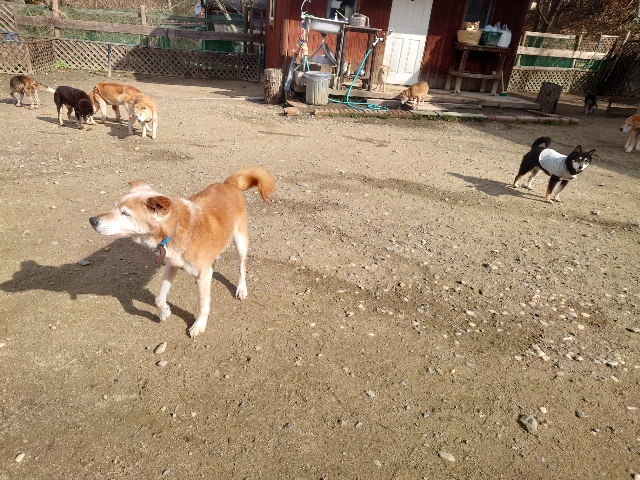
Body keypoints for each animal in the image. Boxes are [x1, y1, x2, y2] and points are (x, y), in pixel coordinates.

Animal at [89, 166, 276, 338]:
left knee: (242, 266)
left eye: (125, 213)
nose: (92, 220)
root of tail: (228, 184)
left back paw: (241, 289)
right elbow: (159, 297)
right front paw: (164, 312)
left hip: (240, 241)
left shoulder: (202, 277)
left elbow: (203, 305)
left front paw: (199, 325)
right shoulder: (171, 265)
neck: (175, 229)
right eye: (115, 208)